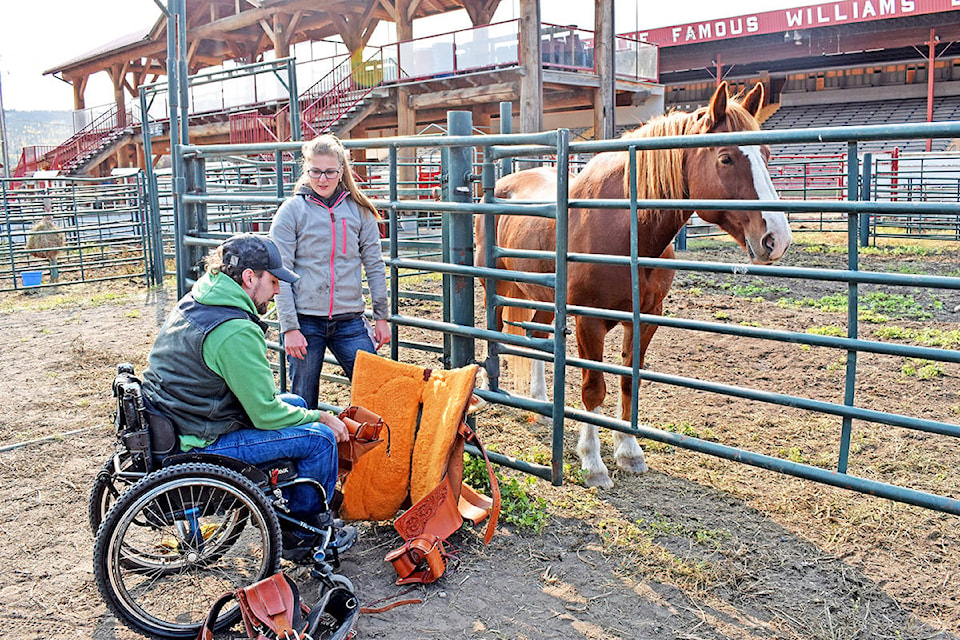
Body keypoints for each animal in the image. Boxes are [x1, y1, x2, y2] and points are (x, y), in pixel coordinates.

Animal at [476, 82, 792, 488]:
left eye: (766, 154)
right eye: (725, 158)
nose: (776, 238)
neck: (623, 228)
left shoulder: (646, 317)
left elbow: (629, 382)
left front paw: (628, 451)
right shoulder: (588, 321)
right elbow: (594, 390)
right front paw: (593, 462)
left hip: (545, 295)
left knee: (536, 337)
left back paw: (543, 405)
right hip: (494, 285)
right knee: (495, 331)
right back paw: (490, 392)